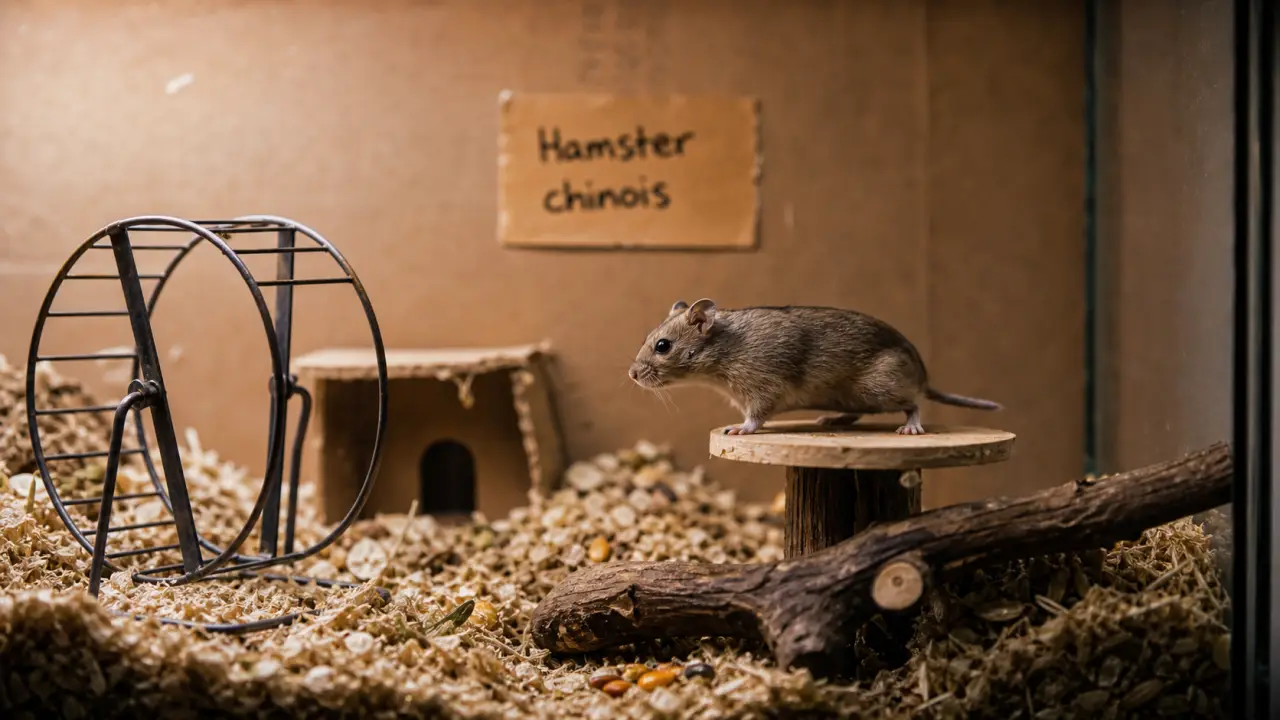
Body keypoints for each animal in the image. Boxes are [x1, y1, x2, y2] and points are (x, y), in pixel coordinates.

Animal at [627, 299, 1002, 436]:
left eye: (663, 346)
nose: (631, 374)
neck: (723, 349)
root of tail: (924, 376)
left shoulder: (762, 391)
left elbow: (754, 418)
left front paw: (738, 429)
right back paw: (832, 420)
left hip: (878, 388)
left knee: (914, 404)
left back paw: (910, 428)